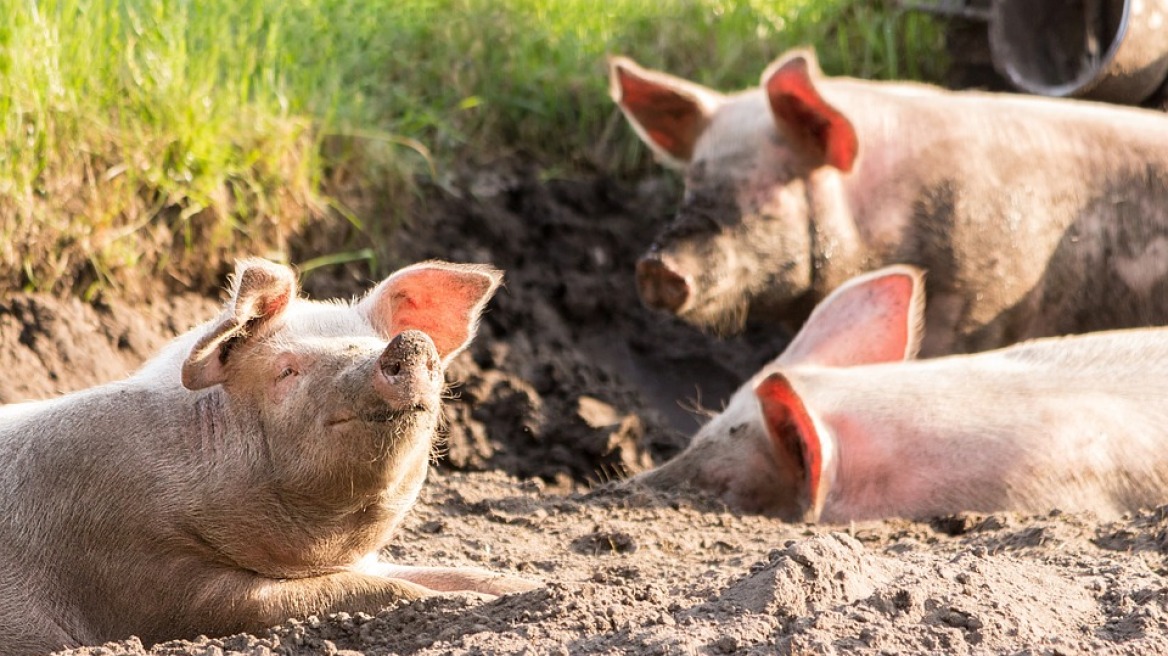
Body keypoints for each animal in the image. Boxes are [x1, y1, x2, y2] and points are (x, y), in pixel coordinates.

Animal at [0, 257, 537, 653]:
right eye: (287, 370)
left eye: (376, 342)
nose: (409, 342)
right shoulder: (148, 578)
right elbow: (368, 591)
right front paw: (463, 601)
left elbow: (456, 573)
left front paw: (528, 589)